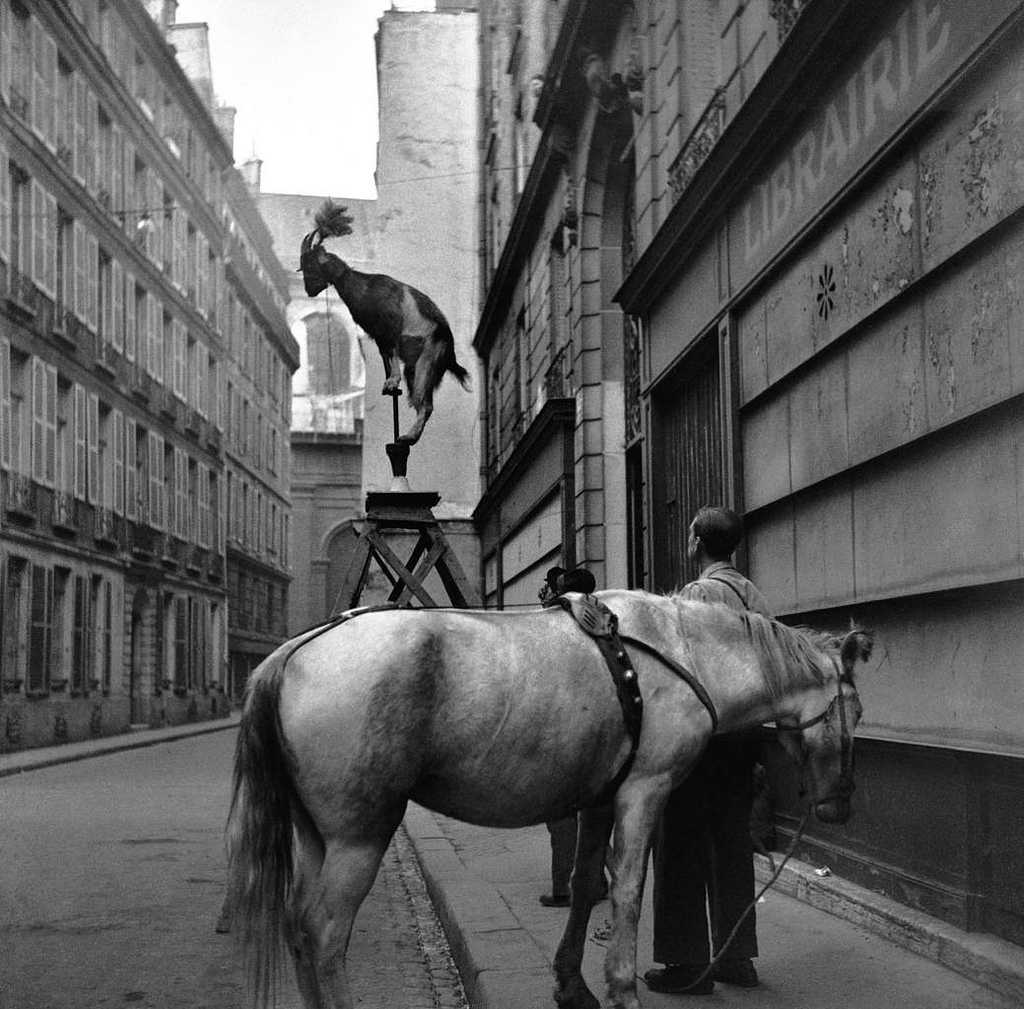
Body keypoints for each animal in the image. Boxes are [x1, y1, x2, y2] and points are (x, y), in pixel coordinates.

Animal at [228, 590, 868, 1007]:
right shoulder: (645, 788)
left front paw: (572, 984)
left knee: (297, 926)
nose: (838, 807)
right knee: (324, 932)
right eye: (856, 711)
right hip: (358, 836)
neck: (687, 652)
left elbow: (586, 884)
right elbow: (629, 889)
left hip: (317, 833)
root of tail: (291, 653)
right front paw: (620, 988)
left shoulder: (602, 798)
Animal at [299, 198, 468, 442]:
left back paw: (408, 437)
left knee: (425, 404)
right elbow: (385, 356)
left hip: (427, 361)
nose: (309, 290)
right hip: (415, 367)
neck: (364, 287)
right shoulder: (378, 335)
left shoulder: (390, 328)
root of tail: (450, 352)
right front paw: (389, 384)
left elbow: (392, 353)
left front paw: (392, 381)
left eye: (309, 264)